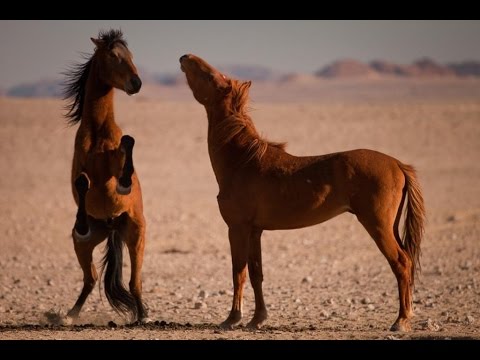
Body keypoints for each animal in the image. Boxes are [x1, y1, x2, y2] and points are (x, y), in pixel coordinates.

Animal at [62, 29, 148, 324]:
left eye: (130, 54)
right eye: (113, 55)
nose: (136, 83)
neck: (98, 131)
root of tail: (111, 227)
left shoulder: (114, 161)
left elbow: (129, 141)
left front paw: (124, 184)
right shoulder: (80, 168)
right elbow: (81, 182)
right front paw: (81, 222)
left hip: (136, 234)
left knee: (134, 282)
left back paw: (143, 316)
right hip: (82, 246)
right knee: (91, 278)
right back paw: (69, 315)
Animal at [179, 53, 424, 332]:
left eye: (212, 76)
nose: (185, 57)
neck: (242, 161)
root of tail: (398, 165)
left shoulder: (238, 228)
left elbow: (237, 273)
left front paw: (232, 318)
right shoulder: (255, 230)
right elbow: (255, 273)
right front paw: (257, 318)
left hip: (378, 225)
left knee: (401, 263)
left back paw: (401, 321)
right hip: (391, 225)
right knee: (407, 260)